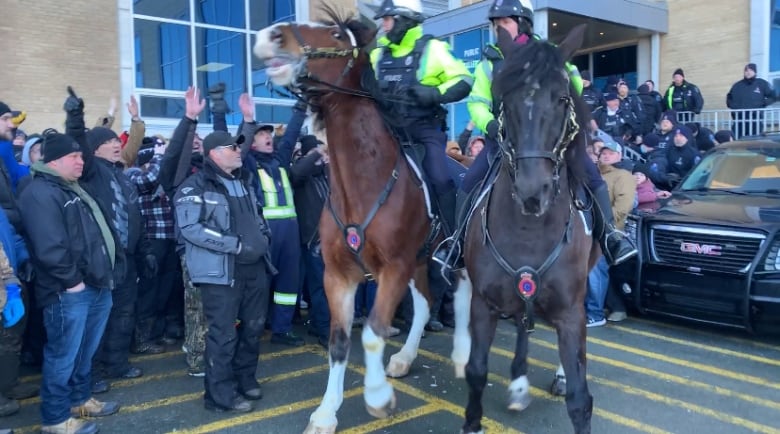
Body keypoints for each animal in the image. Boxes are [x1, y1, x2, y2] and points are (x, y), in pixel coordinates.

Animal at [258, 6, 438, 434]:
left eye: (338, 35)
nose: (271, 36)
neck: (365, 180)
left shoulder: (393, 268)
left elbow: (372, 333)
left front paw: (377, 395)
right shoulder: (337, 275)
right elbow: (339, 342)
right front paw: (326, 412)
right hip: (422, 260)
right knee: (426, 306)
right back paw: (405, 358)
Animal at [450, 25, 596, 432]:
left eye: (562, 98)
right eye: (505, 101)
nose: (534, 192)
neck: (530, 230)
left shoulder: (569, 310)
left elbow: (580, 398)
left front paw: (567, 382)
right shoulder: (484, 303)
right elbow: (476, 370)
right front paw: (472, 421)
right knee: (519, 324)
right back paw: (517, 382)